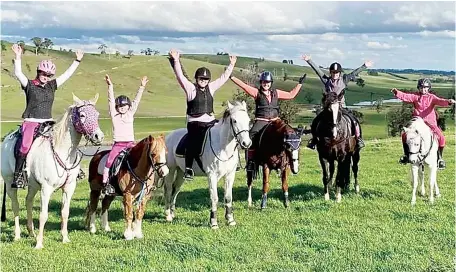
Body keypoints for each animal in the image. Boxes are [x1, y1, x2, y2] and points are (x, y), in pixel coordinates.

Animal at [0, 93, 103, 249]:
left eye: (97, 114)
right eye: (82, 115)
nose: (99, 136)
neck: (62, 151)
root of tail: (6, 140)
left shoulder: (69, 187)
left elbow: (65, 212)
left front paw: (65, 238)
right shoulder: (46, 188)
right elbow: (43, 215)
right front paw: (39, 244)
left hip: (33, 185)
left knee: (28, 201)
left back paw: (31, 232)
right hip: (9, 182)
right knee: (16, 206)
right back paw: (17, 235)